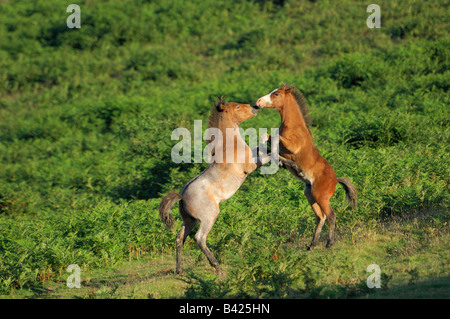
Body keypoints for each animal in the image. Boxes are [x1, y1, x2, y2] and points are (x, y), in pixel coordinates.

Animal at [258, 84, 356, 250]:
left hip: (320, 196)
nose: (258, 101)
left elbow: (272, 137)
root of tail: (336, 180)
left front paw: (290, 164)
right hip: (310, 194)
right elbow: (271, 145)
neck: (293, 126)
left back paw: (329, 242)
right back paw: (312, 244)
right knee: (320, 217)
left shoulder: (291, 145)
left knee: (331, 215)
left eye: (276, 94)